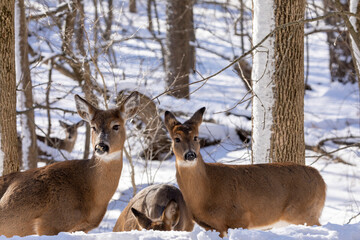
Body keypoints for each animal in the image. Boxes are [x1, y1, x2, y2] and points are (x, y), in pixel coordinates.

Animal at [165, 108, 328, 237]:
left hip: (305, 211)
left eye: (196, 137)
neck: (207, 189)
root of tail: (322, 181)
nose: (190, 155)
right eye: (176, 139)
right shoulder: (211, 226)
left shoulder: (240, 217)